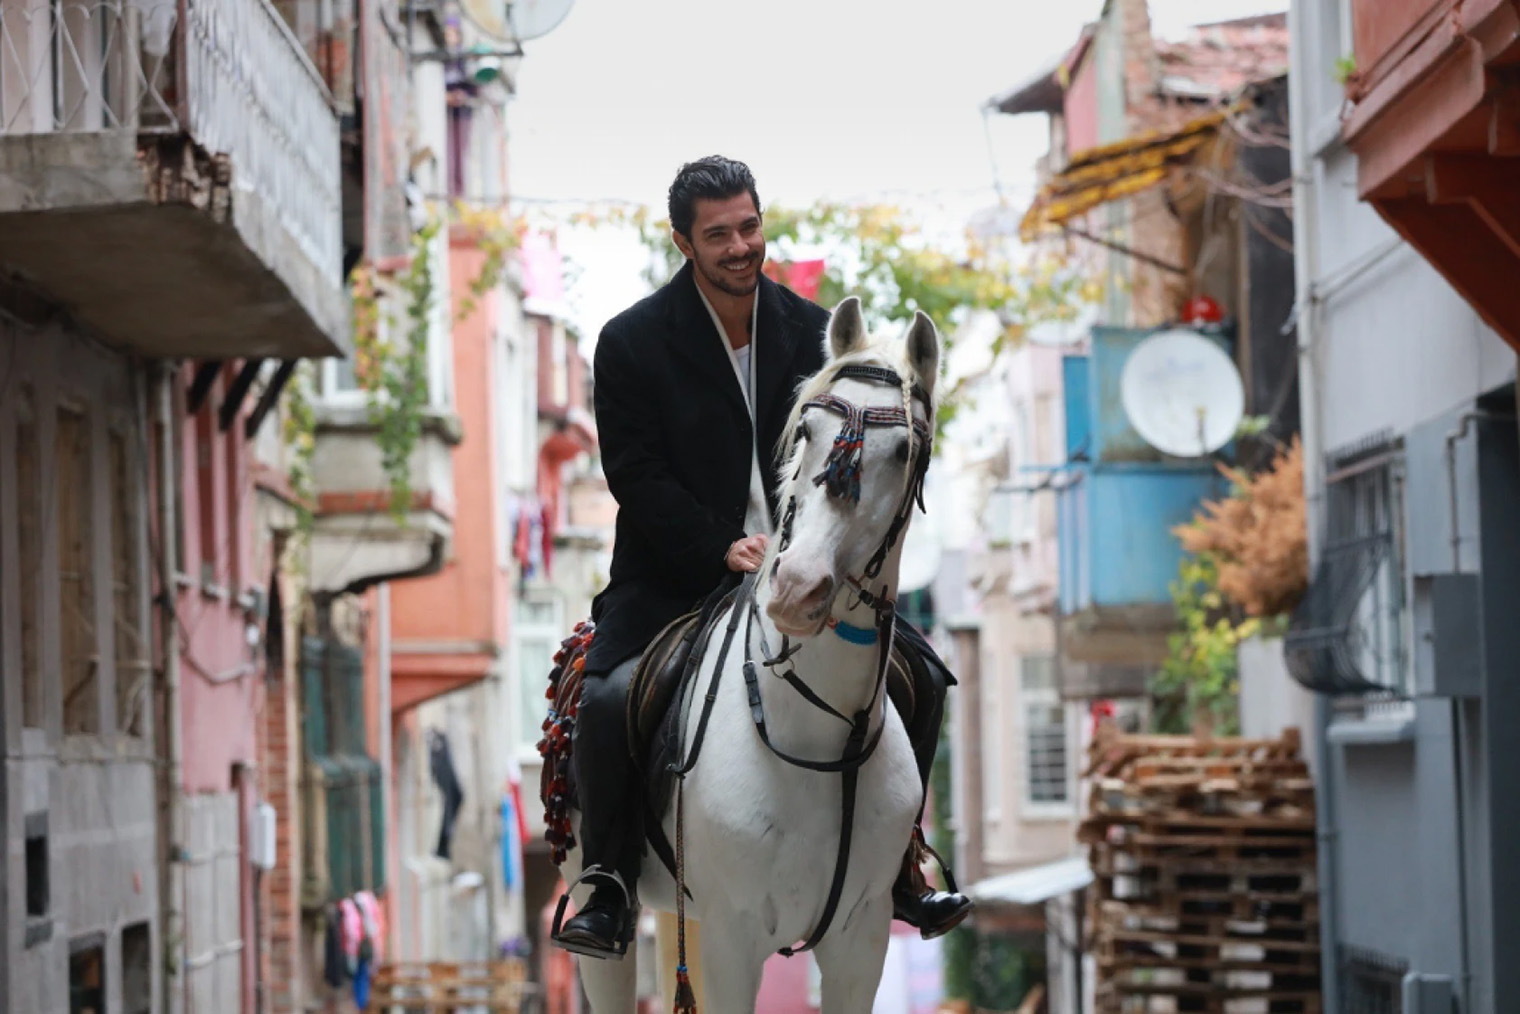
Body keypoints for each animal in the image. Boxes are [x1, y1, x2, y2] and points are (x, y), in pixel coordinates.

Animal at [565, 297, 936, 1009]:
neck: (820, 739)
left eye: (905, 449)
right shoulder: (733, 937)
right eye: (807, 433)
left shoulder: (862, 937)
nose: (798, 589)